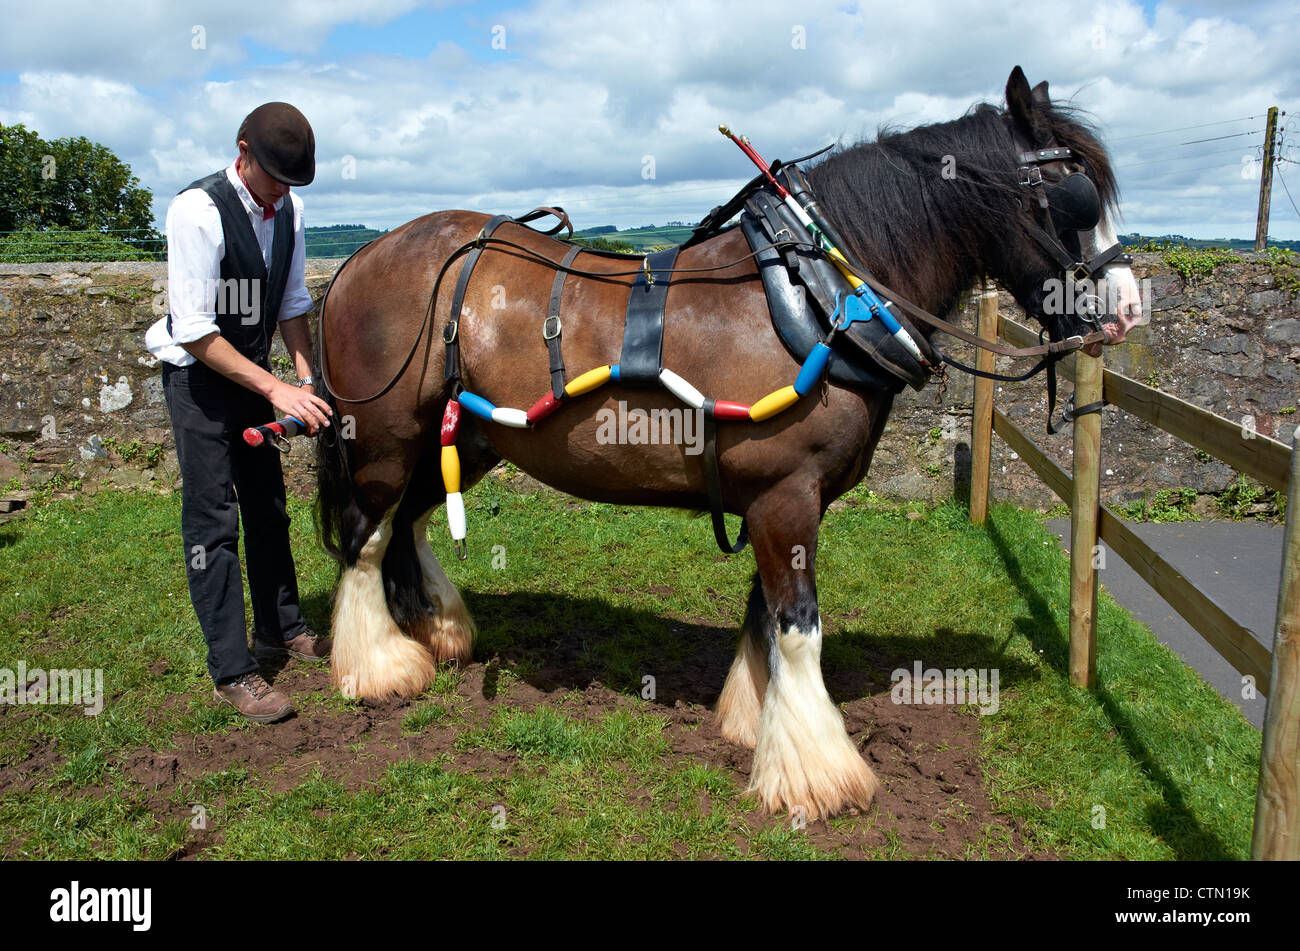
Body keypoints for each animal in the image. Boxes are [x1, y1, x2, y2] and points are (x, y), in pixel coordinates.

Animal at [313, 66, 1144, 821]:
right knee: (365, 535)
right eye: (1073, 191)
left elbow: (765, 616)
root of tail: (362, 258)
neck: (821, 295)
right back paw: (378, 665)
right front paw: (819, 774)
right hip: (385, 440)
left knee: (410, 522)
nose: (1129, 309)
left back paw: (436, 629)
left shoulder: (784, 497)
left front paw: (757, 720)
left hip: (467, 440)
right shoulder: (786, 493)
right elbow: (800, 625)